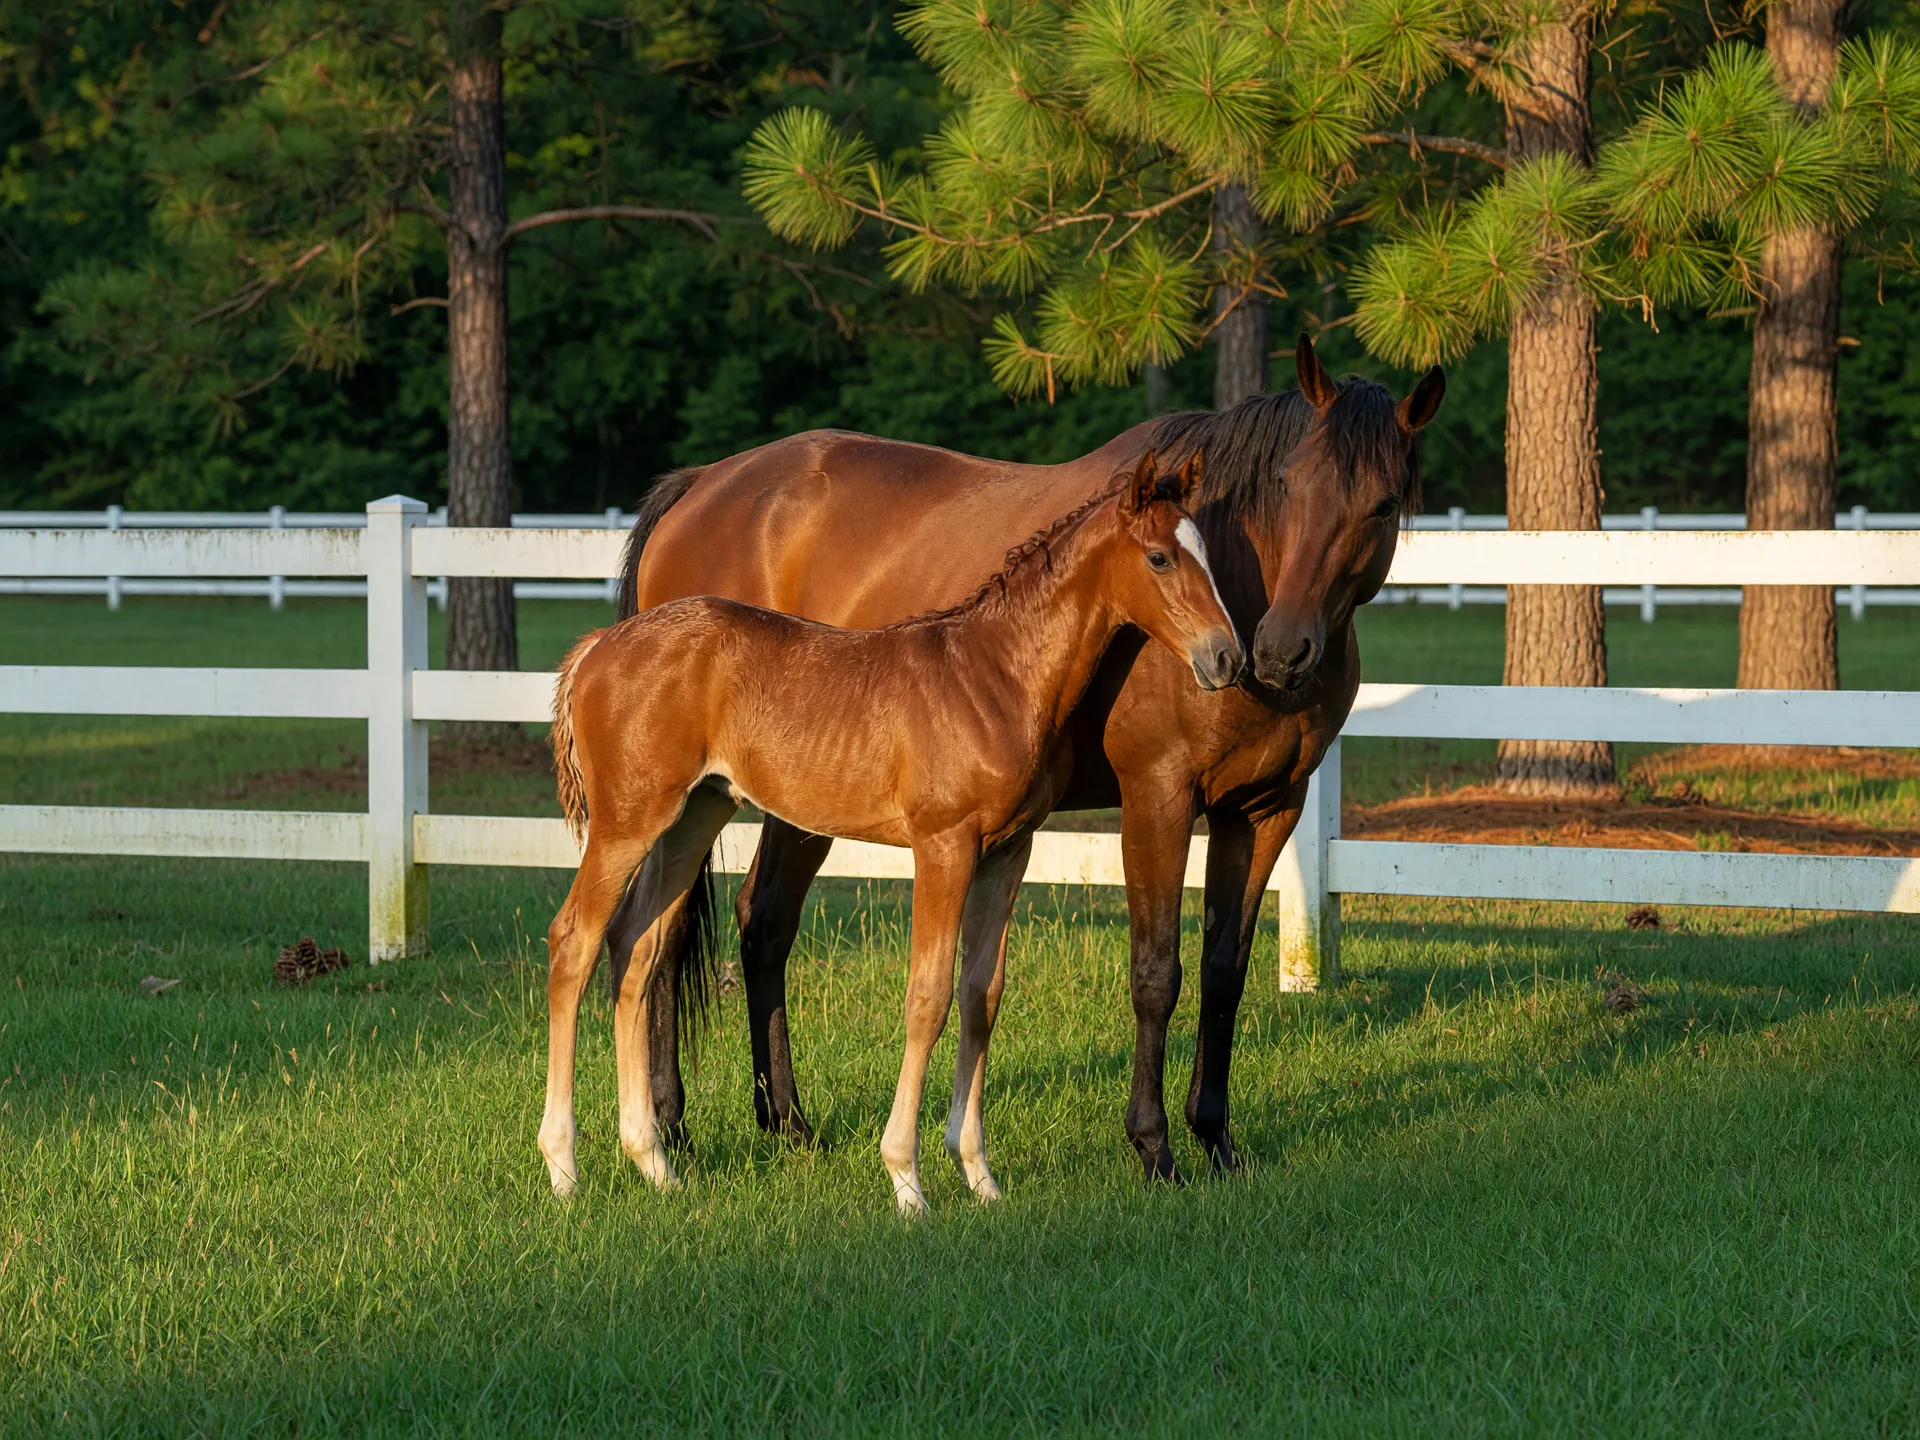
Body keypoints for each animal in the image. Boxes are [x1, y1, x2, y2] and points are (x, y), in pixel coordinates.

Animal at [542, 451, 1239, 1212]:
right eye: (1160, 557)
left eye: (1207, 552)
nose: (1227, 658)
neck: (996, 675)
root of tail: (598, 647)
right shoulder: (943, 846)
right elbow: (927, 997)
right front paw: (907, 1178)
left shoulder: (1009, 852)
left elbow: (981, 996)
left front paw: (979, 1174)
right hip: (628, 821)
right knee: (574, 943)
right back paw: (564, 1170)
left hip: (692, 814)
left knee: (634, 950)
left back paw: (653, 1162)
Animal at [612, 334, 1445, 1182]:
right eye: (1289, 483)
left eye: (1383, 505)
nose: (1274, 653)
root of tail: (700, 486)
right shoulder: (1158, 797)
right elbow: (1157, 972)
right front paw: (1153, 1146)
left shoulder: (1267, 810)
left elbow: (1223, 973)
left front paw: (1216, 1138)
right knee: (666, 939)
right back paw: (672, 1127)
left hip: (798, 797)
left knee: (764, 924)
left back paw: (785, 1122)